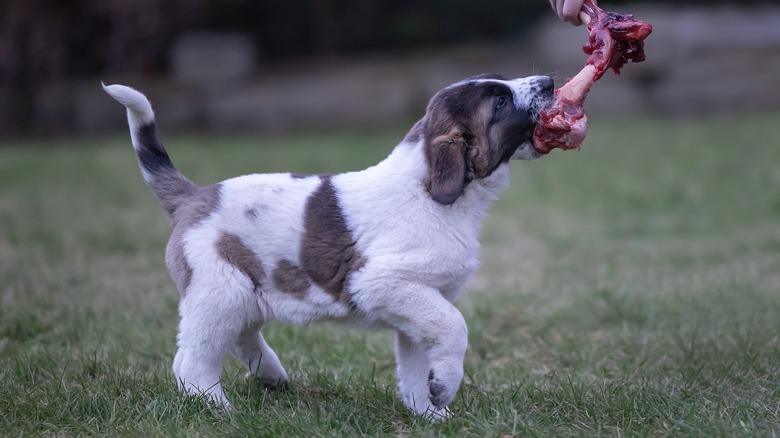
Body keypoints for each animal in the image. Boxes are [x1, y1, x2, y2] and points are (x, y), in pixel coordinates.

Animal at [103, 73, 556, 420]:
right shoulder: (384, 283)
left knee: (240, 335)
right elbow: (454, 327)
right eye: (500, 101)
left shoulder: (419, 300)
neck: (435, 191)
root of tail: (193, 197)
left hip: (242, 292)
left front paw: (430, 412)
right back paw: (218, 408)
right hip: (220, 289)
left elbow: (416, 363)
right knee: (192, 361)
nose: (550, 82)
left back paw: (270, 375)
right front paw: (444, 389)